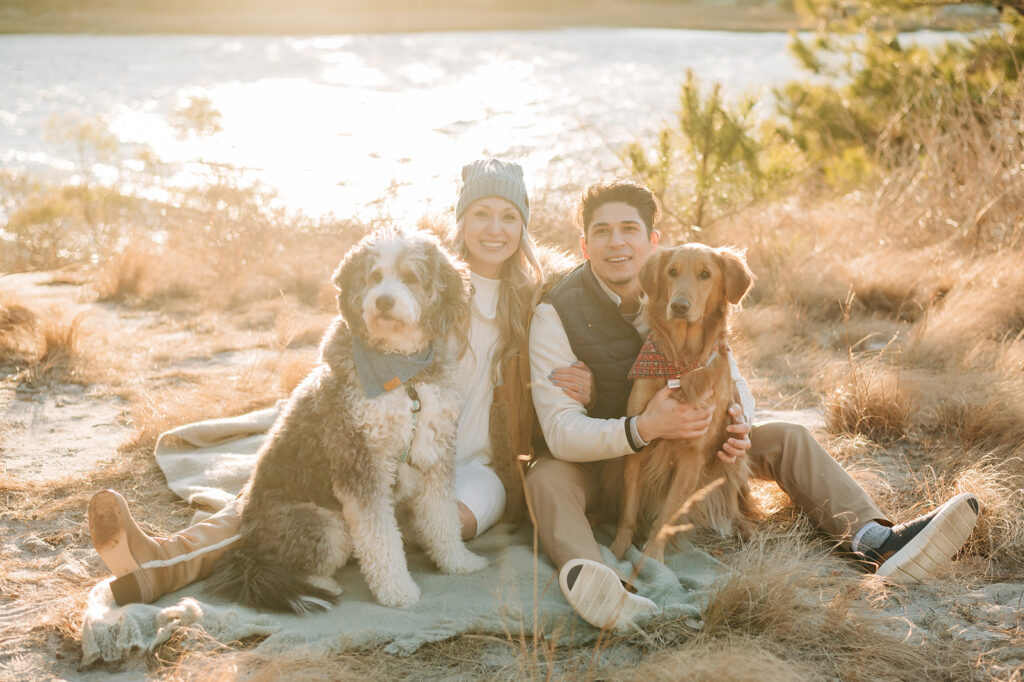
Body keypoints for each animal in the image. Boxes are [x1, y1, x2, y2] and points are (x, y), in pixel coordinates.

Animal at [207, 227, 487, 610]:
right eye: (374, 277)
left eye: (410, 277)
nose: (383, 301)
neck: (403, 375)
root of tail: (245, 546)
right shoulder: (361, 463)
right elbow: (380, 539)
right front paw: (397, 590)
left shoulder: (433, 452)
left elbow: (442, 518)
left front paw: (458, 562)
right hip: (326, 524)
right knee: (298, 563)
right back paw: (322, 584)